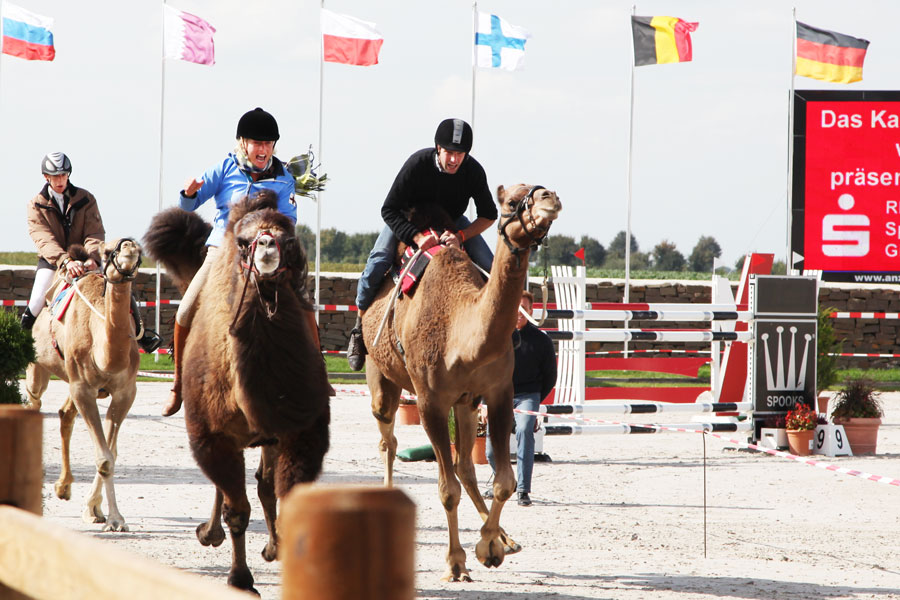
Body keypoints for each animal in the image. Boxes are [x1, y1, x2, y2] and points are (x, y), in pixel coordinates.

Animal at [25, 237, 144, 532]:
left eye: (140, 250)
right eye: (109, 249)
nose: (128, 248)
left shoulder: (125, 393)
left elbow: (110, 454)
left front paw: (103, 513)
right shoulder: (83, 389)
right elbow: (104, 457)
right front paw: (112, 518)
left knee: (65, 414)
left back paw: (63, 487)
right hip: (39, 371)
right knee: (34, 400)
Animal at [144, 191, 330, 592]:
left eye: (289, 240)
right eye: (243, 244)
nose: (267, 248)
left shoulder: (300, 431)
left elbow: (281, 496)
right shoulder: (212, 436)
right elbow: (237, 510)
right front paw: (240, 579)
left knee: (263, 484)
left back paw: (270, 546)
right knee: (232, 491)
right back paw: (210, 533)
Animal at [360, 183, 560, 580]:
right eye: (511, 202)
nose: (550, 198)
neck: (461, 332)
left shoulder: (497, 393)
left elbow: (503, 480)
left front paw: (490, 547)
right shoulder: (430, 401)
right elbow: (446, 488)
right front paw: (455, 562)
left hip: (466, 402)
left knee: (466, 465)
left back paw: (505, 540)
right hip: (382, 377)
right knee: (388, 438)